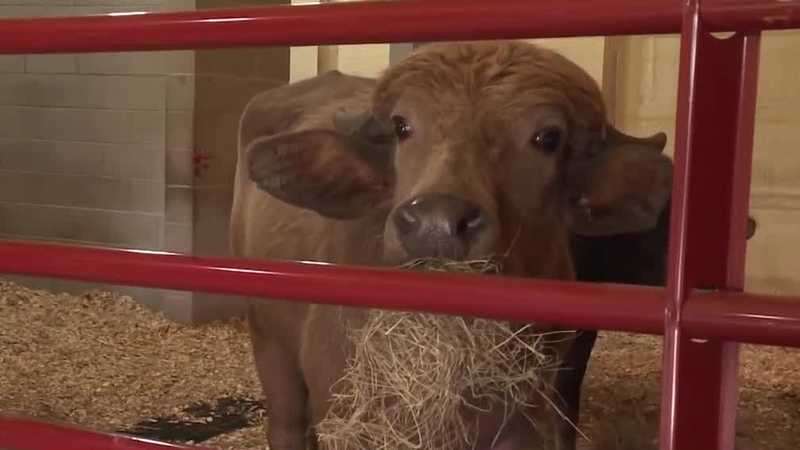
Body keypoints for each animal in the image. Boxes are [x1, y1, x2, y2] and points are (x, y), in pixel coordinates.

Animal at [230, 40, 676, 450]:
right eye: (402, 126)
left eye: (548, 137)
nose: (436, 223)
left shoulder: (527, 419)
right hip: (269, 339)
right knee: (287, 423)